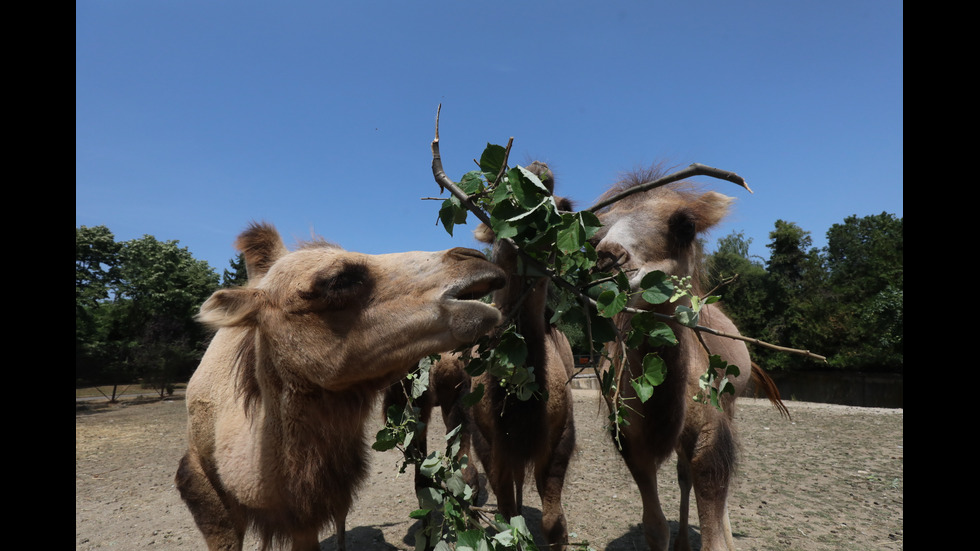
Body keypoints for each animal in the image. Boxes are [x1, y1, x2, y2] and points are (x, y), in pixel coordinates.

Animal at [588, 169, 788, 551]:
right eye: (596, 231)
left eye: (685, 224)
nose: (607, 257)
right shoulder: (631, 440)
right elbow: (654, 527)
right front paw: (670, 535)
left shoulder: (710, 431)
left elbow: (713, 519)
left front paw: (722, 536)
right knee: (683, 476)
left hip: (730, 404)